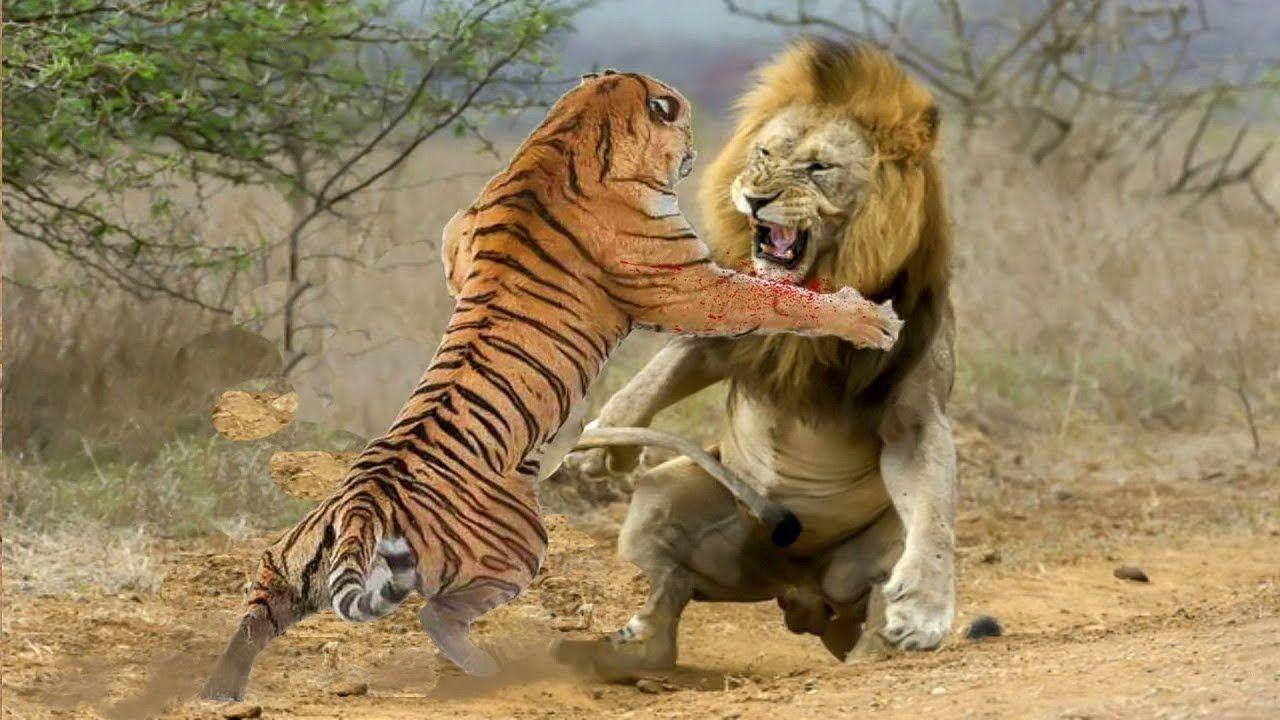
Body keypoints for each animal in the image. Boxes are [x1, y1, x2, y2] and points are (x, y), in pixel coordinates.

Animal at [200, 69, 903, 702]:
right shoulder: (688, 285)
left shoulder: (459, 234)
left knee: (256, 610)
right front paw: (869, 319)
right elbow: (777, 297)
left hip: (288, 563)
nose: (698, 147)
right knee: (435, 613)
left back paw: (218, 691)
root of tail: (360, 508)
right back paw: (490, 673)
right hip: (518, 544)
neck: (570, 129)